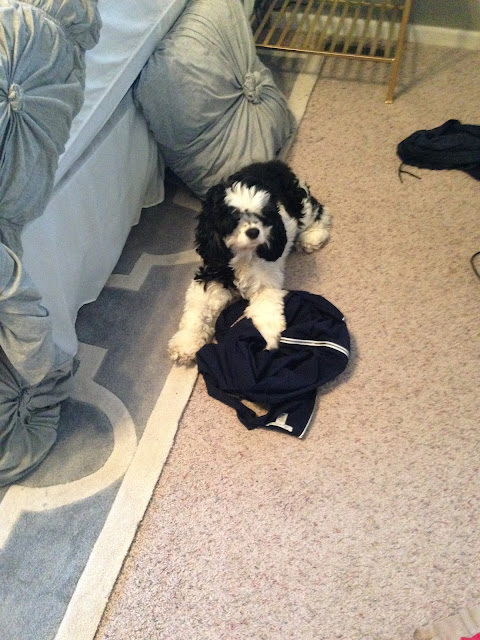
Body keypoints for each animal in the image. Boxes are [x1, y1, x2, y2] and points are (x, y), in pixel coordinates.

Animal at [168, 160, 331, 364]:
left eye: (262, 216)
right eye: (233, 219)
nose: (253, 231)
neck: (244, 255)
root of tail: (276, 164)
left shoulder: (265, 282)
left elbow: (265, 311)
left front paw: (269, 340)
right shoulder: (212, 272)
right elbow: (197, 311)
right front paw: (186, 343)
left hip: (300, 203)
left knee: (318, 212)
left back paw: (312, 237)